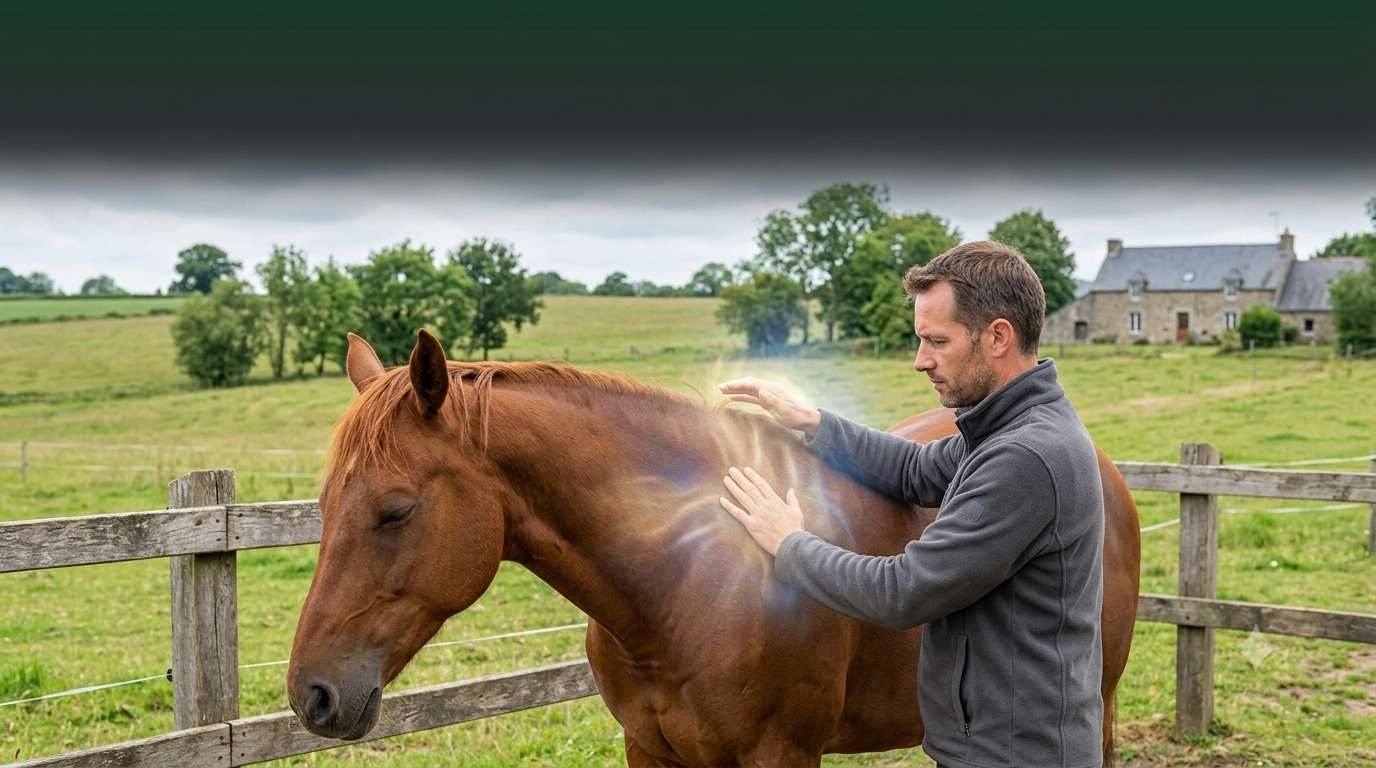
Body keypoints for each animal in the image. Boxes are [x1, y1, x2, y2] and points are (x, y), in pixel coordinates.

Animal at [287, 330, 1140, 767]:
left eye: (395, 511)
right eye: (323, 505)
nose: (311, 696)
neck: (685, 588)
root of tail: (1101, 465)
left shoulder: (778, 758)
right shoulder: (650, 753)